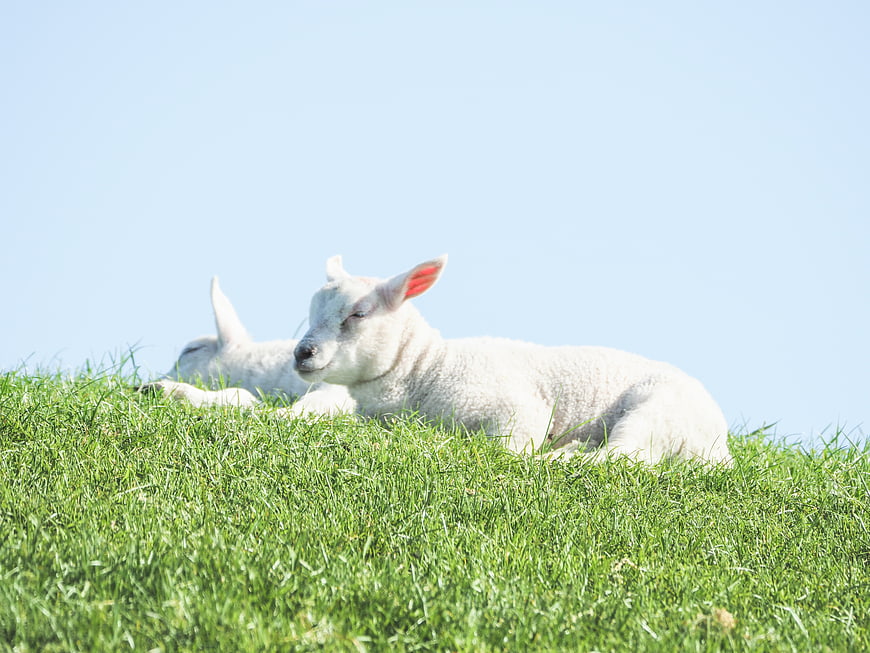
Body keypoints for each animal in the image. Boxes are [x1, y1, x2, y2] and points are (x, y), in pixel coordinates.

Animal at [293, 255, 732, 464]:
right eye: (311, 311)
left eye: (358, 314)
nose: (302, 353)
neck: (425, 369)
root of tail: (719, 448)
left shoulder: (516, 406)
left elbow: (509, 447)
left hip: (657, 412)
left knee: (627, 457)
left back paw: (566, 457)